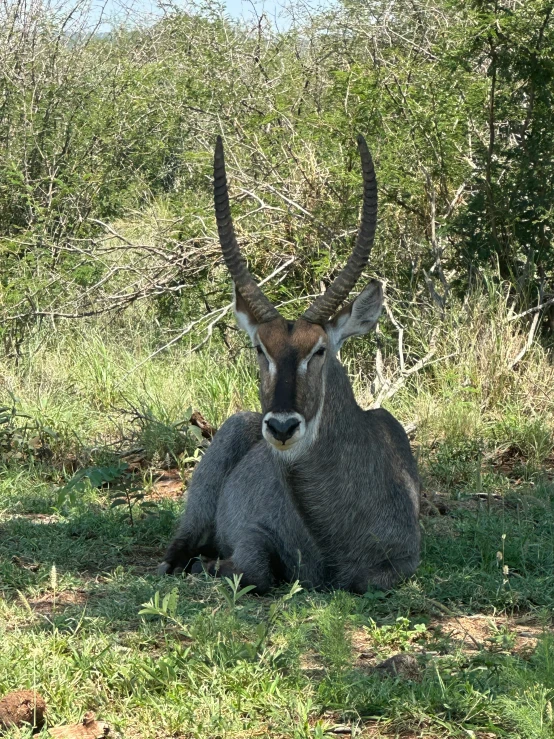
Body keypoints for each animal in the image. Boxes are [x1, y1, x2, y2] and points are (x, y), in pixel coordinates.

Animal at [158, 136, 418, 592]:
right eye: (260, 348)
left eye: (319, 350)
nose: (281, 428)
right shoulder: (251, 532)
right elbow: (254, 569)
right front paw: (211, 566)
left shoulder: (405, 563)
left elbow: (369, 580)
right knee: (176, 551)